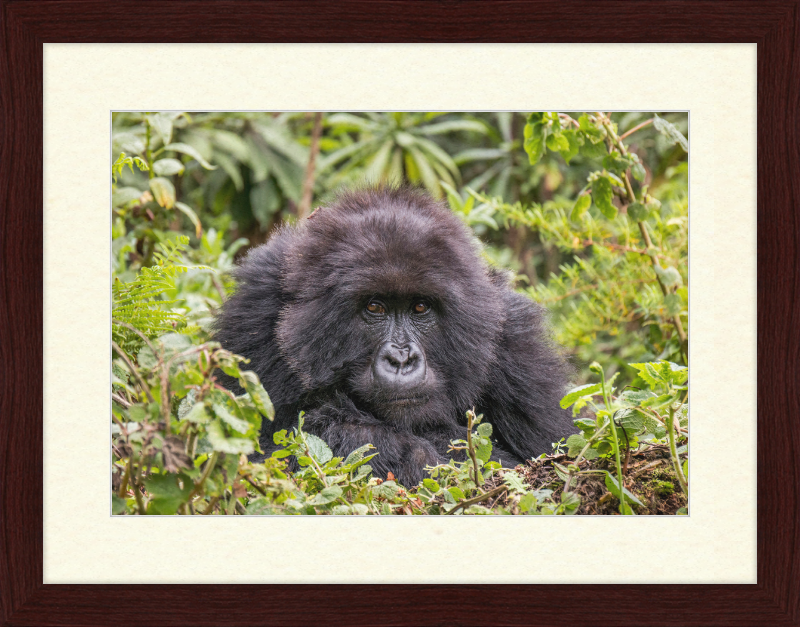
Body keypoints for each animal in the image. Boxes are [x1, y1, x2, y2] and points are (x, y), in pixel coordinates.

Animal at [216, 185, 572, 486]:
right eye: (374, 307)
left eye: (420, 307)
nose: (401, 359)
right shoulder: (254, 317)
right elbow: (254, 457)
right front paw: (377, 442)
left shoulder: (516, 344)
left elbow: (553, 457)